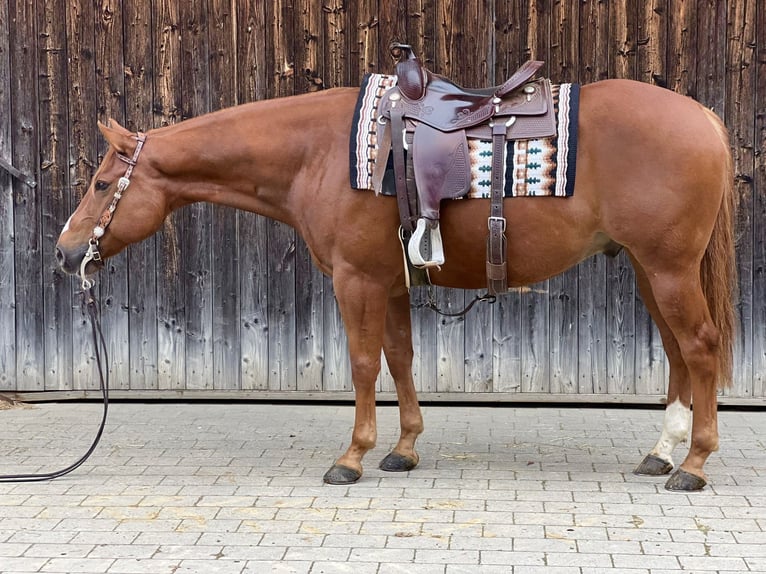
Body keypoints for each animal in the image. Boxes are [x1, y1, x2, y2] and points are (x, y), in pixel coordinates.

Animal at [55, 76, 736, 492]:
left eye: (100, 184)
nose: (64, 255)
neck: (317, 153)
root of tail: (704, 117)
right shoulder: (389, 283)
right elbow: (401, 359)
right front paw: (403, 449)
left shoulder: (356, 280)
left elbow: (362, 365)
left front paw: (351, 457)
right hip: (649, 268)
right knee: (677, 352)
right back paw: (662, 452)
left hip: (668, 269)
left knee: (700, 347)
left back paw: (694, 463)